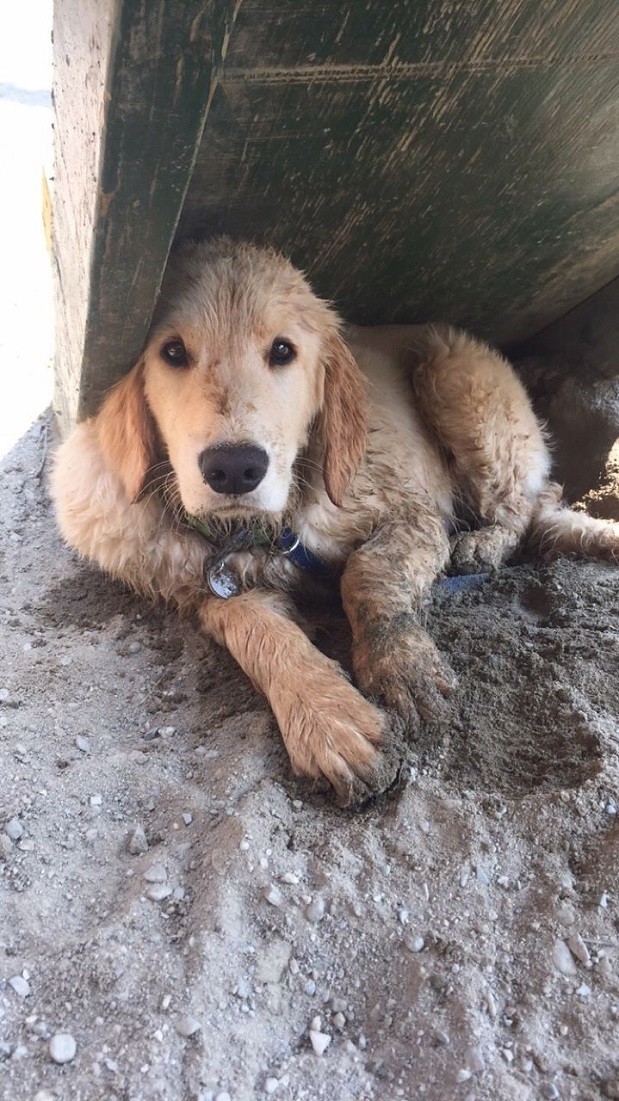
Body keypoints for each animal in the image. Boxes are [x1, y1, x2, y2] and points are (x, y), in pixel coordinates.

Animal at [49, 238, 616, 801]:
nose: (233, 468)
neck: (264, 532)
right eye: (172, 352)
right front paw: (329, 719)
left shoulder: (414, 513)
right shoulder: (200, 587)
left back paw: (488, 543)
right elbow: (257, 628)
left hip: (456, 373)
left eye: (283, 350)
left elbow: (366, 572)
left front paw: (400, 663)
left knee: (531, 502)